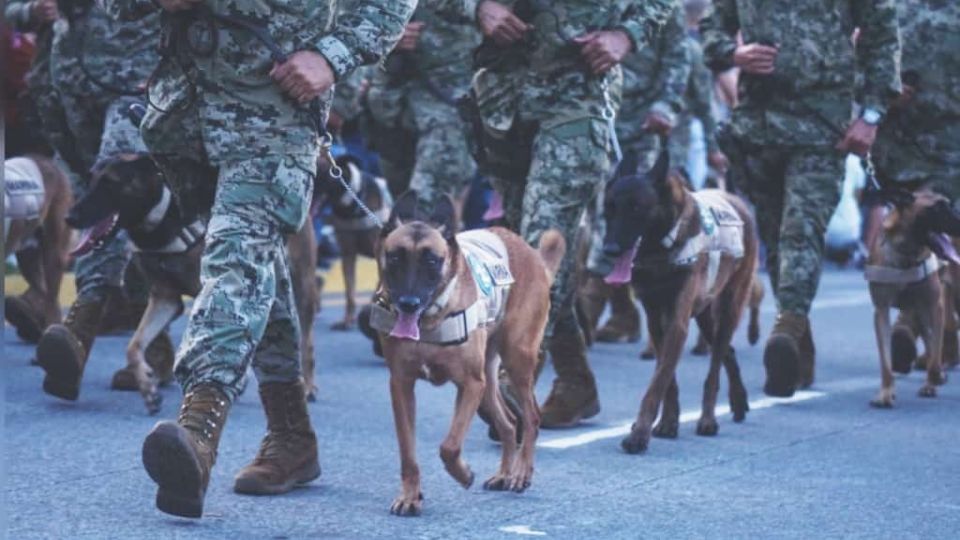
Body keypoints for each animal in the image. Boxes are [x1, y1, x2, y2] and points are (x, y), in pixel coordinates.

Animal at [71, 154, 318, 412]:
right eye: (89, 181)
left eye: (110, 183)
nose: (71, 217)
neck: (162, 218)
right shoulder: (165, 300)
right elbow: (134, 345)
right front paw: (148, 387)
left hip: (302, 288)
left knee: (306, 341)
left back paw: (308, 386)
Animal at [368, 192, 564, 516]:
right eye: (395, 257)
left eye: (432, 261)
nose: (408, 303)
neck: (429, 321)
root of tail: (532, 254)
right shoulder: (402, 386)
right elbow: (408, 453)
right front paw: (410, 496)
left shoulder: (469, 385)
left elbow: (449, 446)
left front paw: (462, 473)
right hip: (488, 380)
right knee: (508, 423)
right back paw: (504, 474)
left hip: (516, 364)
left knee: (531, 418)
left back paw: (521, 473)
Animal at [600, 153, 756, 456]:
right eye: (610, 209)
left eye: (636, 208)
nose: (610, 250)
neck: (663, 245)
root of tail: (735, 198)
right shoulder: (657, 322)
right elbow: (667, 379)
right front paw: (668, 422)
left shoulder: (677, 323)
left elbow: (657, 384)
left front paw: (639, 434)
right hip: (706, 316)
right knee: (727, 352)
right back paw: (739, 400)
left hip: (729, 309)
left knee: (715, 367)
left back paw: (708, 419)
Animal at [868, 188, 956, 408]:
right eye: (937, 207)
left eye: (949, 204)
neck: (905, 253)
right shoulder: (881, 311)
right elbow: (886, 362)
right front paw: (886, 393)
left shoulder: (935, 307)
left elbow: (935, 352)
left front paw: (932, 381)